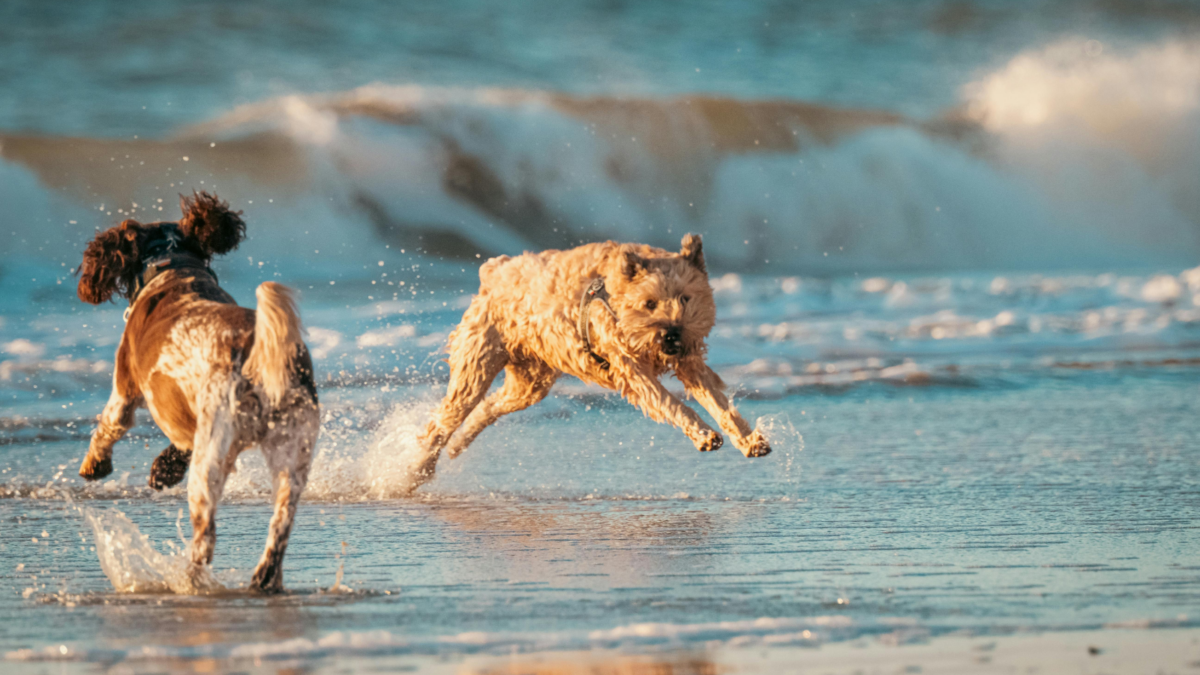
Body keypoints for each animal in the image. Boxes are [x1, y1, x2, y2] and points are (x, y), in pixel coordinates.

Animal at [74, 192, 319, 590]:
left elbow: (108, 426)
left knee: (206, 537)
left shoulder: (124, 389)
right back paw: (265, 579)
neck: (172, 266)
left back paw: (190, 580)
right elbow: (178, 441)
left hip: (211, 460)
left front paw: (94, 465)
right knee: (281, 524)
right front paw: (165, 468)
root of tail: (257, 354)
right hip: (293, 454)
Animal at [410, 233, 768, 487]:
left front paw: (748, 439)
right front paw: (702, 433)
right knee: (445, 418)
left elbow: (719, 402)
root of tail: (494, 273)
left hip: (532, 380)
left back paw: (460, 443)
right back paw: (417, 470)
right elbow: (670, 402)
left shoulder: (689, 359)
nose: (671, 335)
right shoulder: (630, 367)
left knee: (491, 404)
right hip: (478, 357)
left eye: (685, 298)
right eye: (650, 303)